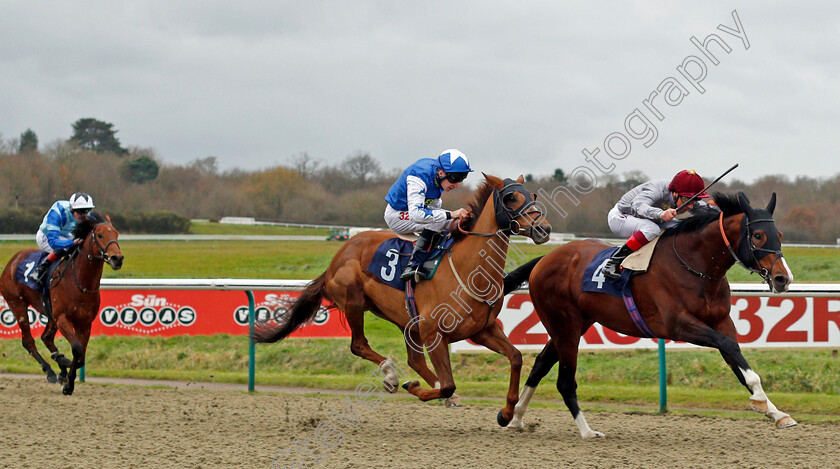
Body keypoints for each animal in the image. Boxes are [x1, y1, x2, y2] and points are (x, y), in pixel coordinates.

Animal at [0, 213, 124, 394]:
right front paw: (65, 370)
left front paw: (68, 382)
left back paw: (60, 366)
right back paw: (51, 370)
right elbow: (77, 351)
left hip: (50, 314)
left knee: (46, 337)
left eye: (116, 234)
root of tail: (12, 261)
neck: (81, 282)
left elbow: (80, 356)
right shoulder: (63, 318)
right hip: (17, 304)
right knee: (28, 341)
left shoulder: (84, 323)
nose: (117, 258)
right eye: (100, 235)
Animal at [251, 173, 552, 420]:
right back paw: (391, 375)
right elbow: (448, 384)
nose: (544, 229)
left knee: (414, 360)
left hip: (406, 320)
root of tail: (338, 256)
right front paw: (414, 386)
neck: (469, 271)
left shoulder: (482, 330)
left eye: (532, 195)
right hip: (354, 302)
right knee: (359, 345)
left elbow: (516, 357)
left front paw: (507, 411)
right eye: (511, 198)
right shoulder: (434, 333)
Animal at [502, 192, 796, 436]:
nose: (783, 278)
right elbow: (728, 346)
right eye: (758, 235)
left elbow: (738, 362)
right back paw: (587, 432)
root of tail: (544, 259)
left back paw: (515, 418)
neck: (696, 265)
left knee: (541, 363)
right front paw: (761, 402)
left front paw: (776, 412)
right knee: (564, 381)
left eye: (780, 234)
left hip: (574, 324)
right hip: (565, 325)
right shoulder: (678, 324)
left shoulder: (722, 322)